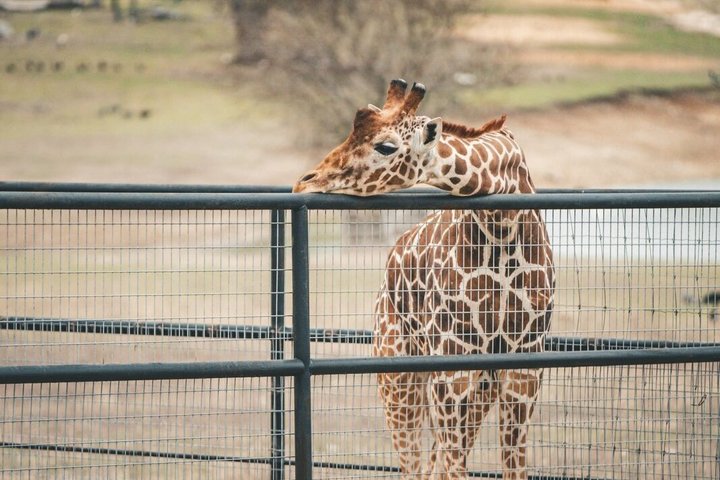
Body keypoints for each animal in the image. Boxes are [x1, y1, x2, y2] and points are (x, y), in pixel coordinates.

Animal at [293, 79, 555, 480]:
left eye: (385, 146)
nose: (304, 182)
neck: (503, 222)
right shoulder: (449, 369)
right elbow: (453, 469)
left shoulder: (523, 370)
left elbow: (508, 469)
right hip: (397, 372)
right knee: (413, 464)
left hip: (477, 387)